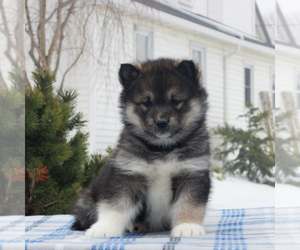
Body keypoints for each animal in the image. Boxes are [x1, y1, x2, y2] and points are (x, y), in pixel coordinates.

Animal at [71, 58, 210, 236]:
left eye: (175, 101)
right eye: (146, 102)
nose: (161, 122)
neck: (163, 148)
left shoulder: (192, 173)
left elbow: (190, 203)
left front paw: (187, 226)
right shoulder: (128, 175)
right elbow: (115, 205)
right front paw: (104, 228)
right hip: (88, 199)